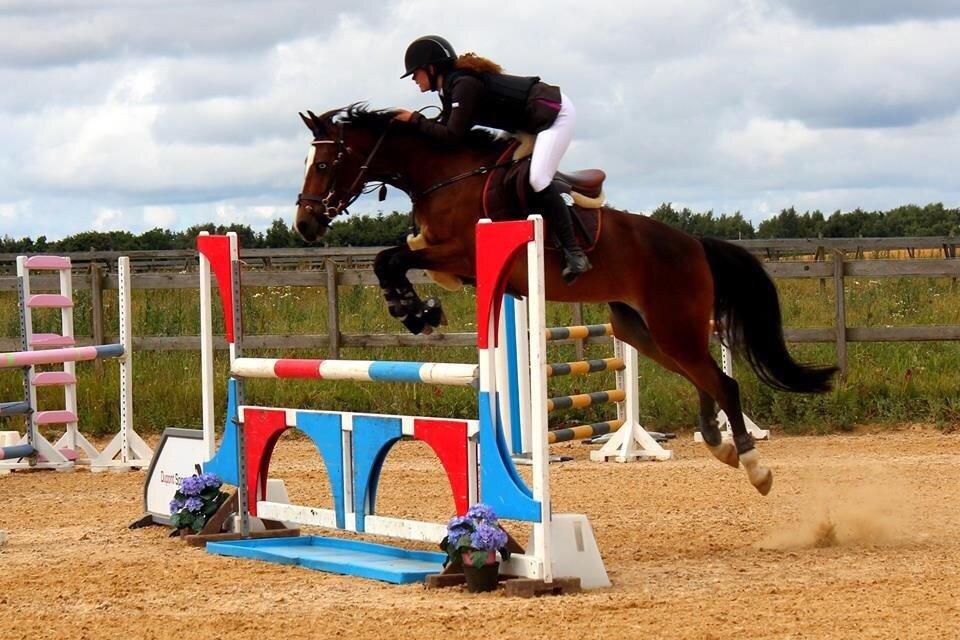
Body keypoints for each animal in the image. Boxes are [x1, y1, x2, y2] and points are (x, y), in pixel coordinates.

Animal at [293, 104, 838, 495]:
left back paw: (752, 465)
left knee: (722, 381)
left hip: (672, 326)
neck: (445, 175)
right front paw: (415, 310)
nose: (305, 225)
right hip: (640, 330)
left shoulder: (463, 252)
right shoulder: (443, 257)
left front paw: (415, 312)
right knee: (704, 377)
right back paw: (718, 444)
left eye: (325, 163)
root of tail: (694, 244)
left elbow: (392, 258)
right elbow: (390, 259)